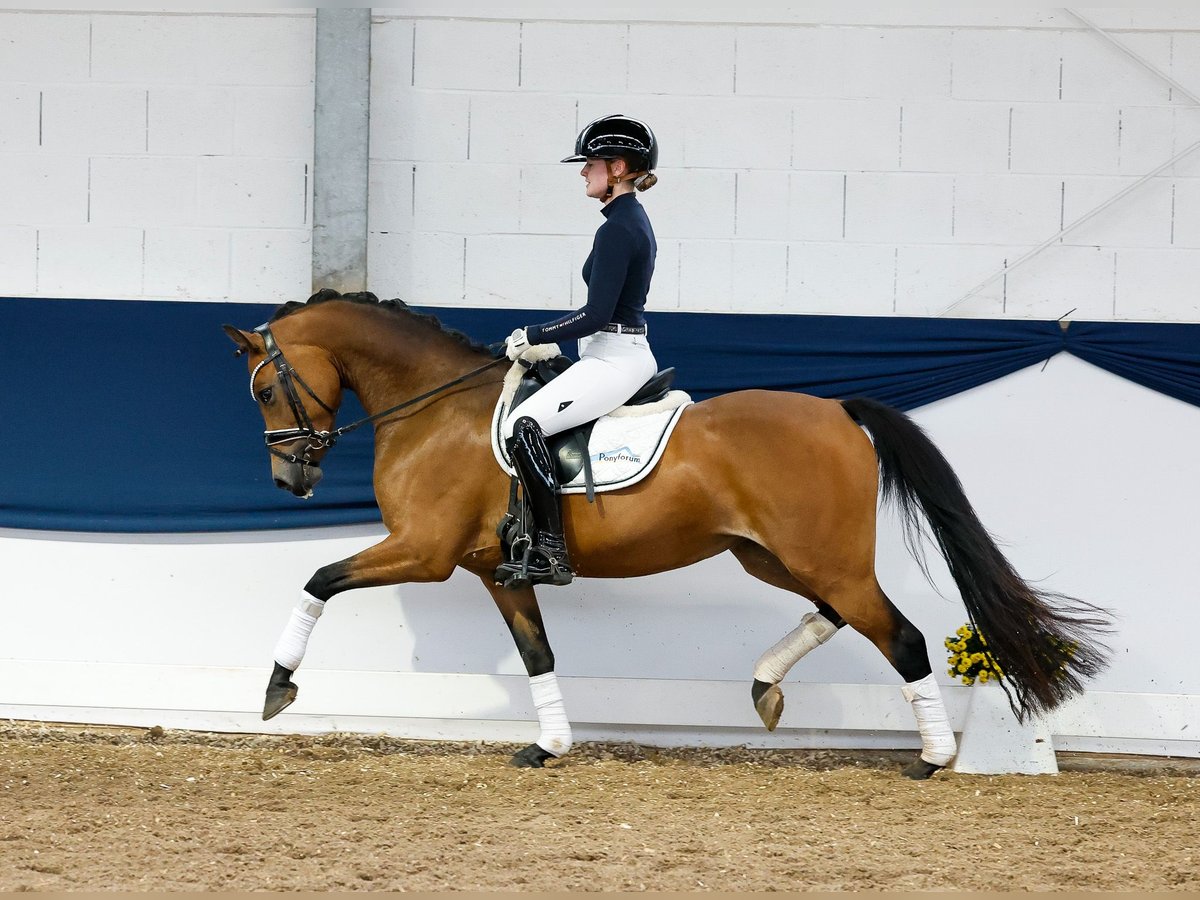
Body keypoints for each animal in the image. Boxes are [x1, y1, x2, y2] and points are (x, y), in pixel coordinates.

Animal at [223, 292, 1104, 777]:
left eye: (265, 389)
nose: (290, 483)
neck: (435, 409)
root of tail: (837, 410)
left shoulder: (424, 554)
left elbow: (318, 580)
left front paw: (276, 687)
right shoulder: (490, 572)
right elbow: (538, 655)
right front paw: (550, 746)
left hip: (818, 557)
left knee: (902, 635)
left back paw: (932, 759)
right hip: (772, 555)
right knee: (838, 614)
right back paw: (766, 684)